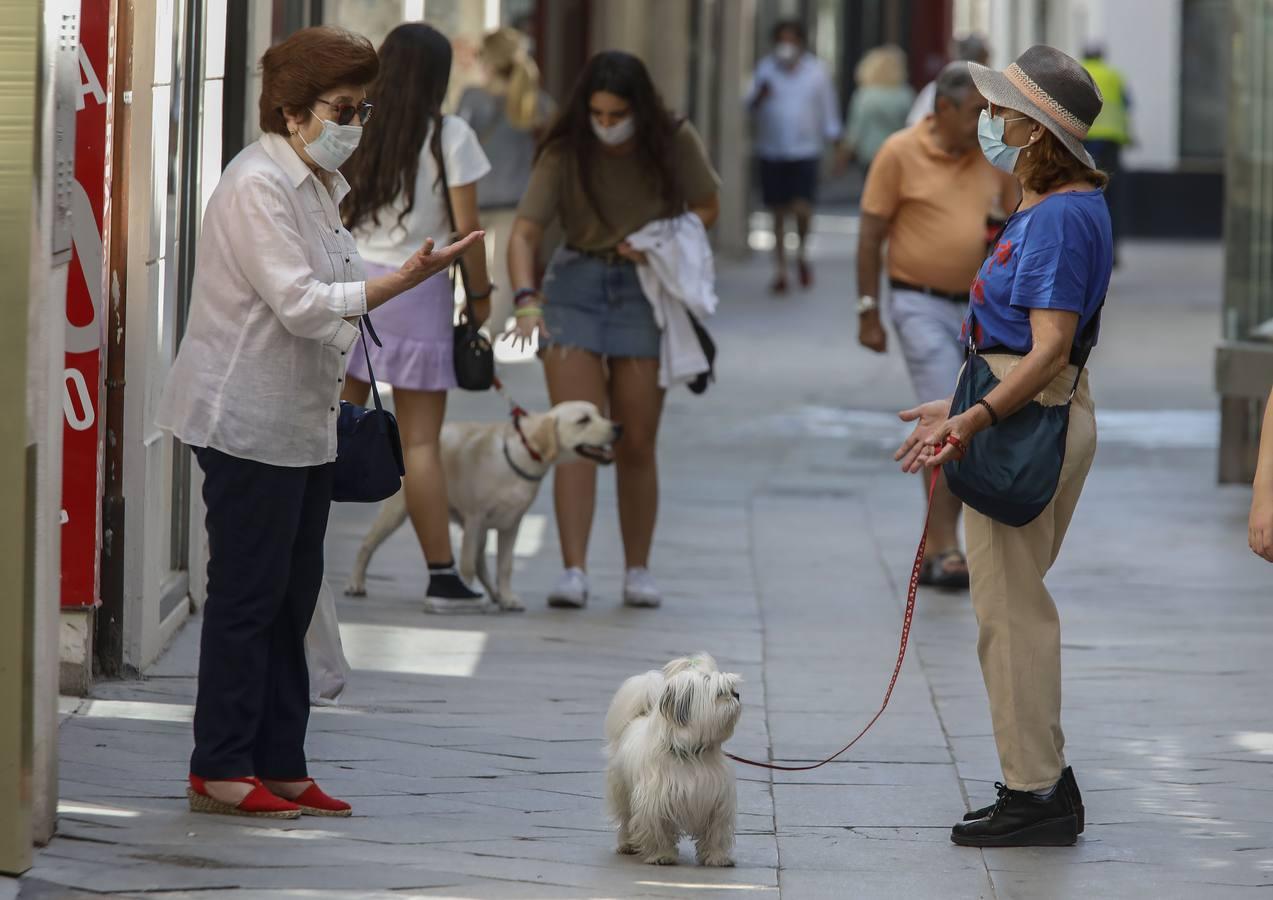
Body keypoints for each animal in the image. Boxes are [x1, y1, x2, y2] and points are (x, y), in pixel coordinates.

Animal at [343, 402, 621, 608]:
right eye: (583, 420)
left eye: (599, 413)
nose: (618, 427)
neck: (518, 458)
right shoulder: (474, 518)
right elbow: (466, 564)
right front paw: (469, 592)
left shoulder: (511, 525)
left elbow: (505, 566)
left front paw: (507, 597)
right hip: (397, 512)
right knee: (366, 545)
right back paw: (356, 583)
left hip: (482, 531)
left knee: (482, 563)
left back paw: (495, 594)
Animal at [603, 656, 743, 865]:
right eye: (720, 693)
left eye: (731, 688)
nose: (737, 695)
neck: (692, 753)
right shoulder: (654, 801)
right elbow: (658, 830)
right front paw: (662, 855)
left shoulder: (716, 800)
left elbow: (715, 832)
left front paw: (717, 857)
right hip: (622, 791)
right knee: (626, 819)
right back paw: (627, 844)